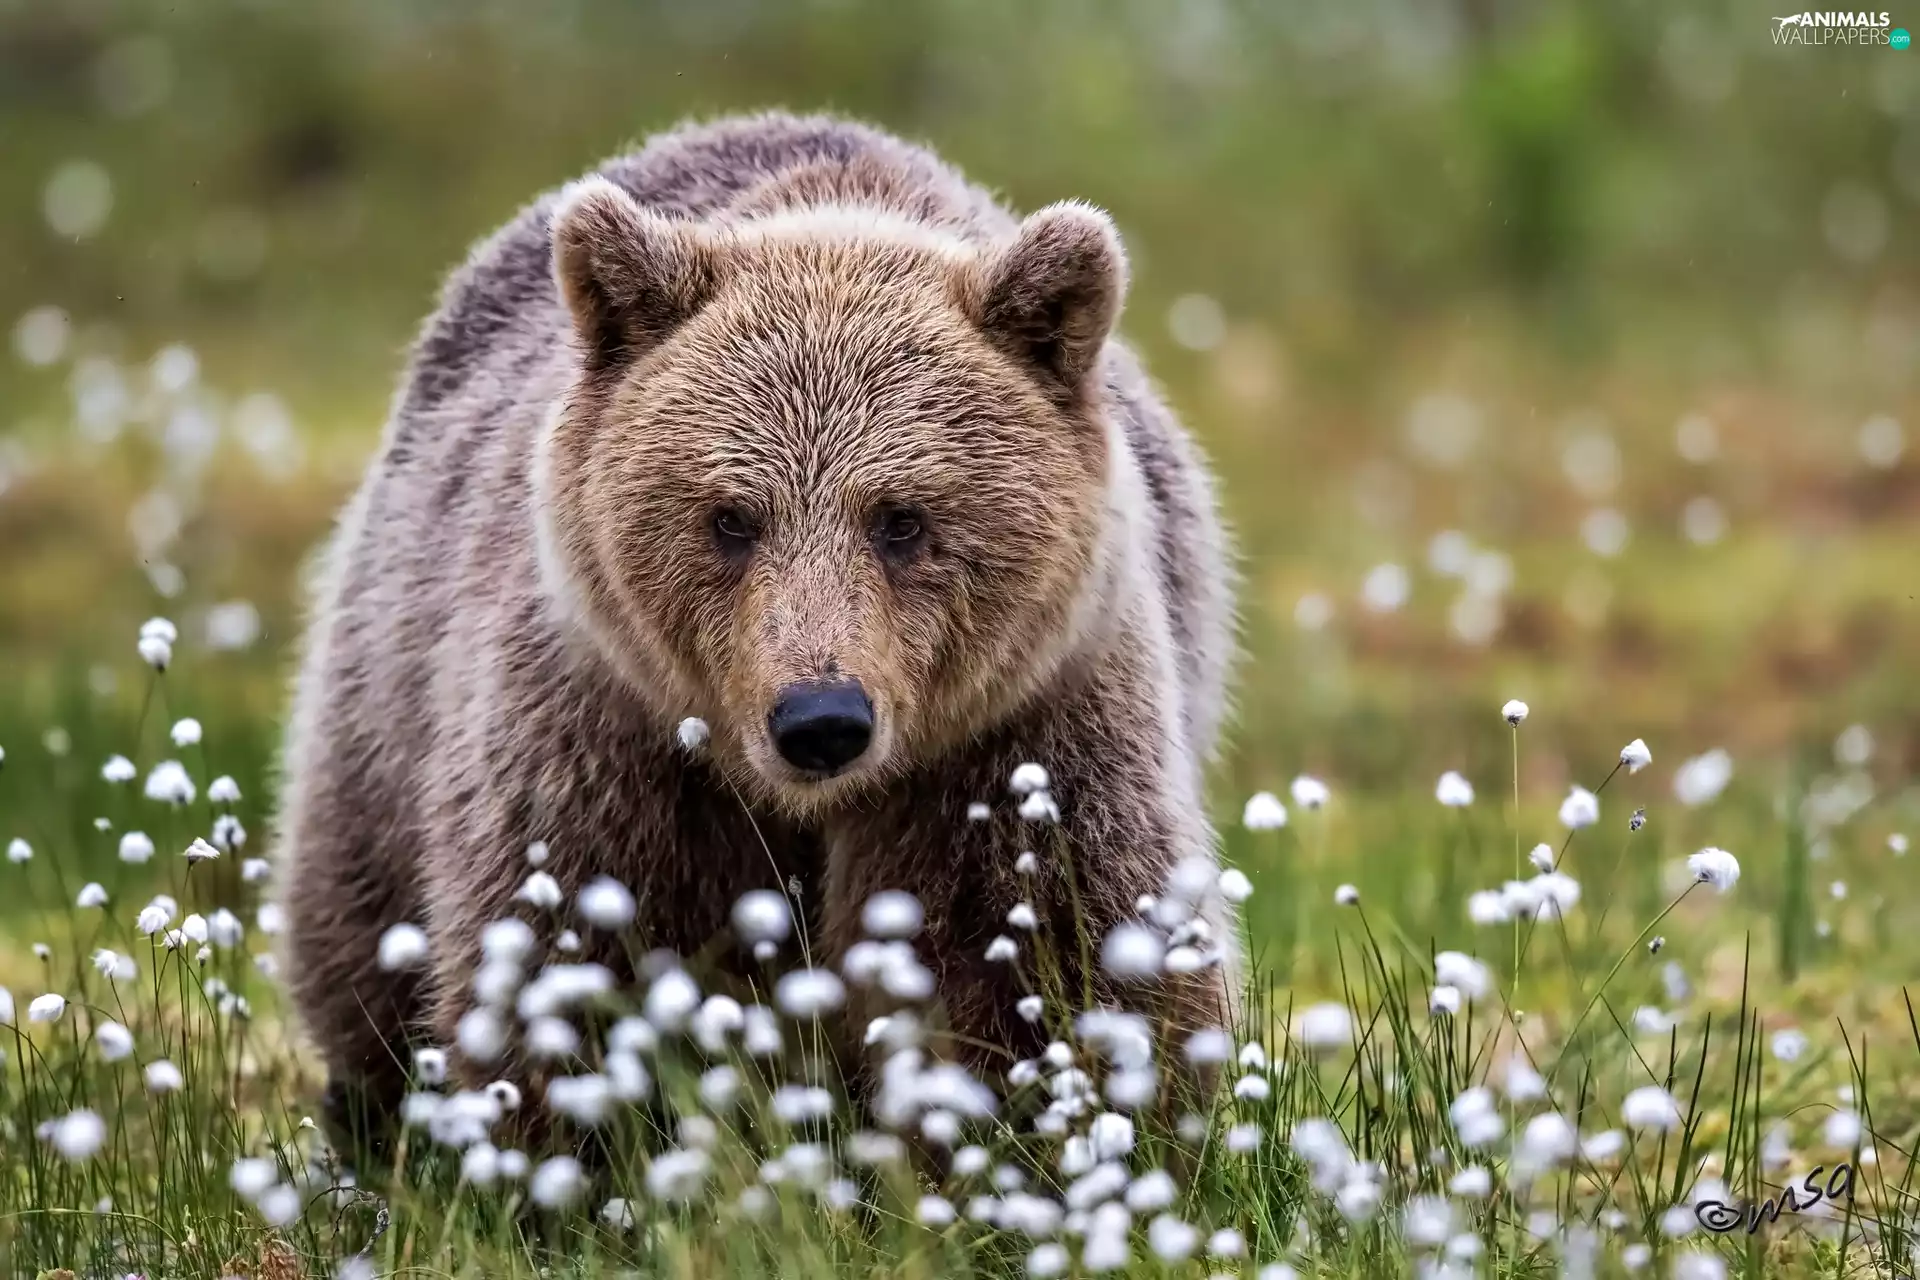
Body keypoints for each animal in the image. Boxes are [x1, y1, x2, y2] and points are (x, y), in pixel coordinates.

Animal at [272, 111, 1236, 1152]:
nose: (820, 719)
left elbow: (1048, 950)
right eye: (732, 517)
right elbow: (571, 948)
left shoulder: (1020, 734)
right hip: (385, 679)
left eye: (903, 519)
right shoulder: (612, 735)